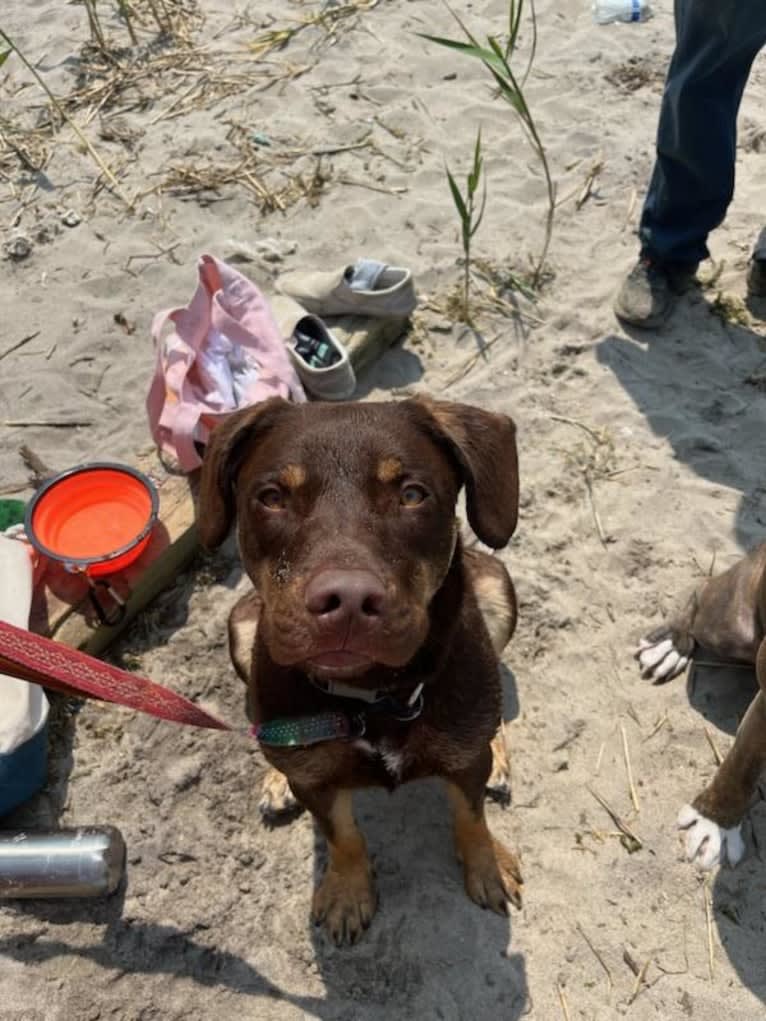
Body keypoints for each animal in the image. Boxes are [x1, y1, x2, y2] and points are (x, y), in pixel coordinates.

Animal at [198, 394, 522, 943]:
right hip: (240, 625)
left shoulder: (463, 758)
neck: (373, 697)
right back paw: (276, 776)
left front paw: (487, 866)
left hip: (496, 586)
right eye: (272, 497)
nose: (347, 601)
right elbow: (342, 834)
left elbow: (470, 814)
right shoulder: (317, 783)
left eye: (412, 494)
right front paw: (348, 891)